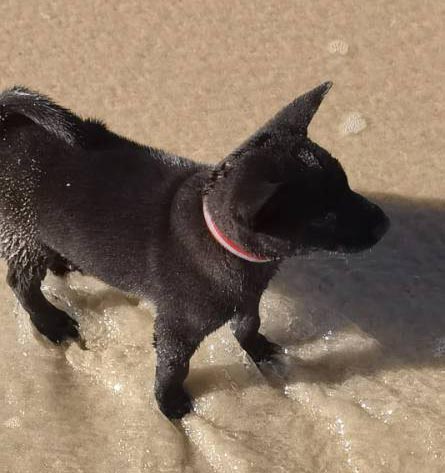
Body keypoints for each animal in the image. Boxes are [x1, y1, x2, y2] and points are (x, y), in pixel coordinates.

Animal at [0, 82, 386, 416]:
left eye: (346, 184)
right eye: (326, 216)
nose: (385, 223)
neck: (218, 239)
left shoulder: (248, 296)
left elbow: (249, 323)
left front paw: (259, 348)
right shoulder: (179, 326)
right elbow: (175, 365)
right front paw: (169, 402)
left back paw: (64, 263)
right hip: (22, 234)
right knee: (22, 283)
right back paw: (50, 322)